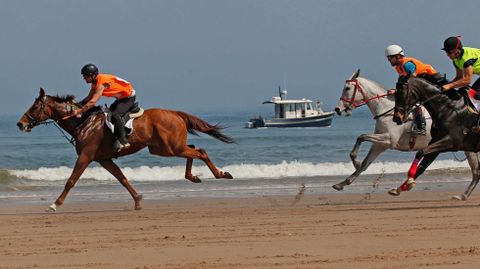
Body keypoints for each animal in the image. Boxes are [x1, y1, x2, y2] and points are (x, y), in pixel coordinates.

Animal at [17, 89, 235, 210]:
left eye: (35, 107)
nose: (20, 124)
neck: (83, 122)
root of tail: (175, 113)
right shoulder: (104, 159)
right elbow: (122, 178)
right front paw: (138, 200)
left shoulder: (86, 156)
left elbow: (71, 181)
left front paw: (54, 204)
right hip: (165, 148)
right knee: (194, 149)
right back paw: (193, 177)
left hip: (170, 148)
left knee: (200, 151)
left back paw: (221, 174)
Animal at [332, 69, 478, 199]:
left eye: (347, 88)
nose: (338, 109)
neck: (385, 110)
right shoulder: (380, 145)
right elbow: (365, 163)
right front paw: (342, 183)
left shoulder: (389, 140)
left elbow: (361, 136)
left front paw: (355, 161)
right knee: (476, 172)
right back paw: (463, 195)